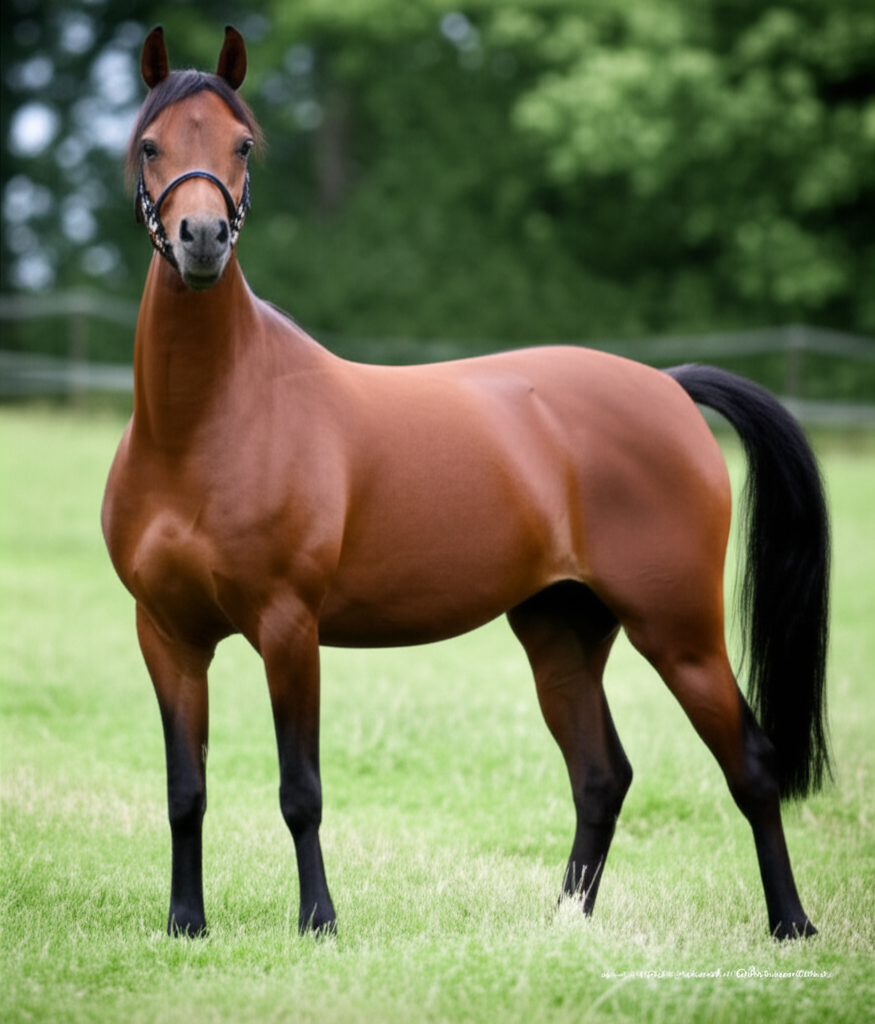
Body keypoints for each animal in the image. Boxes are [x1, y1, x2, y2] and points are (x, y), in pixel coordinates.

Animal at [102, 25, 831, 941]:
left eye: (242, 145)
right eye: (150, 144)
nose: (200, 239)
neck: (206, 426)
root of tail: (666, 386)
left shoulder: (287, 627)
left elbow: (300, 790)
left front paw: (318, 923)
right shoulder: (165, 636)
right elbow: (185, 791)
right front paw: (186, 926)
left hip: (678, 631)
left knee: (751, 763)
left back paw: (791, 925)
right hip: (561, 631)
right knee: (601, 776)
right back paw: (565, 926)